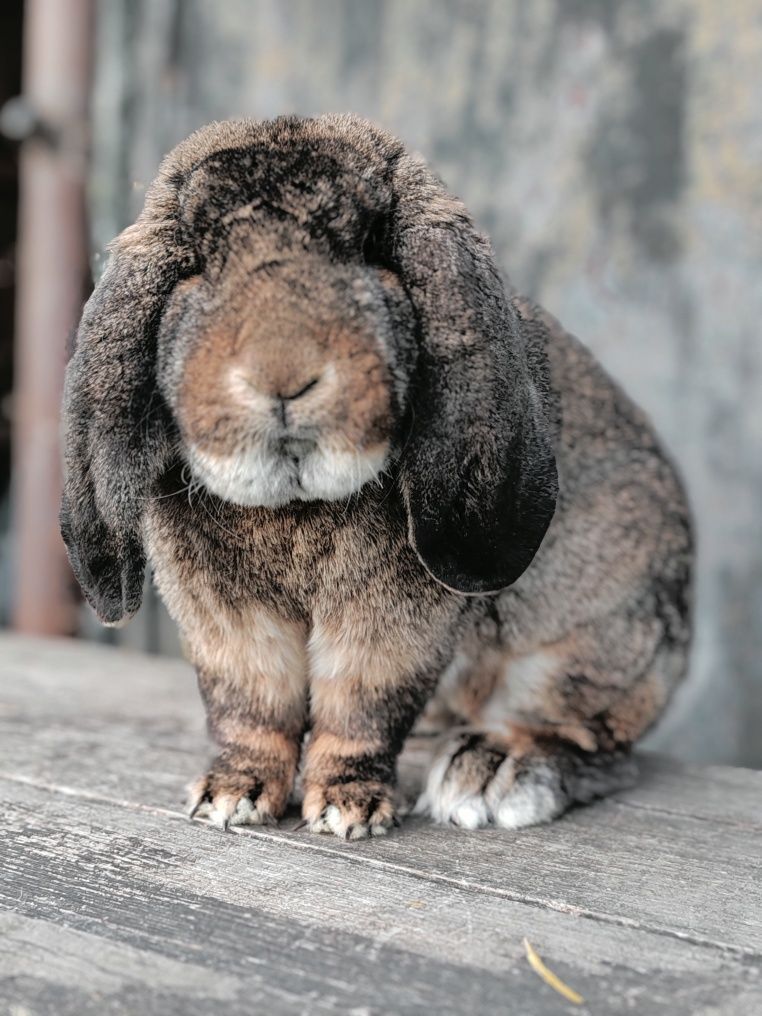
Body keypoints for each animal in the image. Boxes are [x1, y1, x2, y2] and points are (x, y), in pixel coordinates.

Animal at [61, 115, 690, 837]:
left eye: (369, 247)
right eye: (194, 263)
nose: (283, 375)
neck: (296, 505)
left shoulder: (391, 619)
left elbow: (361, 705)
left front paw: (347, 809)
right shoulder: (224, 617)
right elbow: (250, 705)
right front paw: (229, 797)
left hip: (587, 641)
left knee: (591, 738)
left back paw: (489, 770)